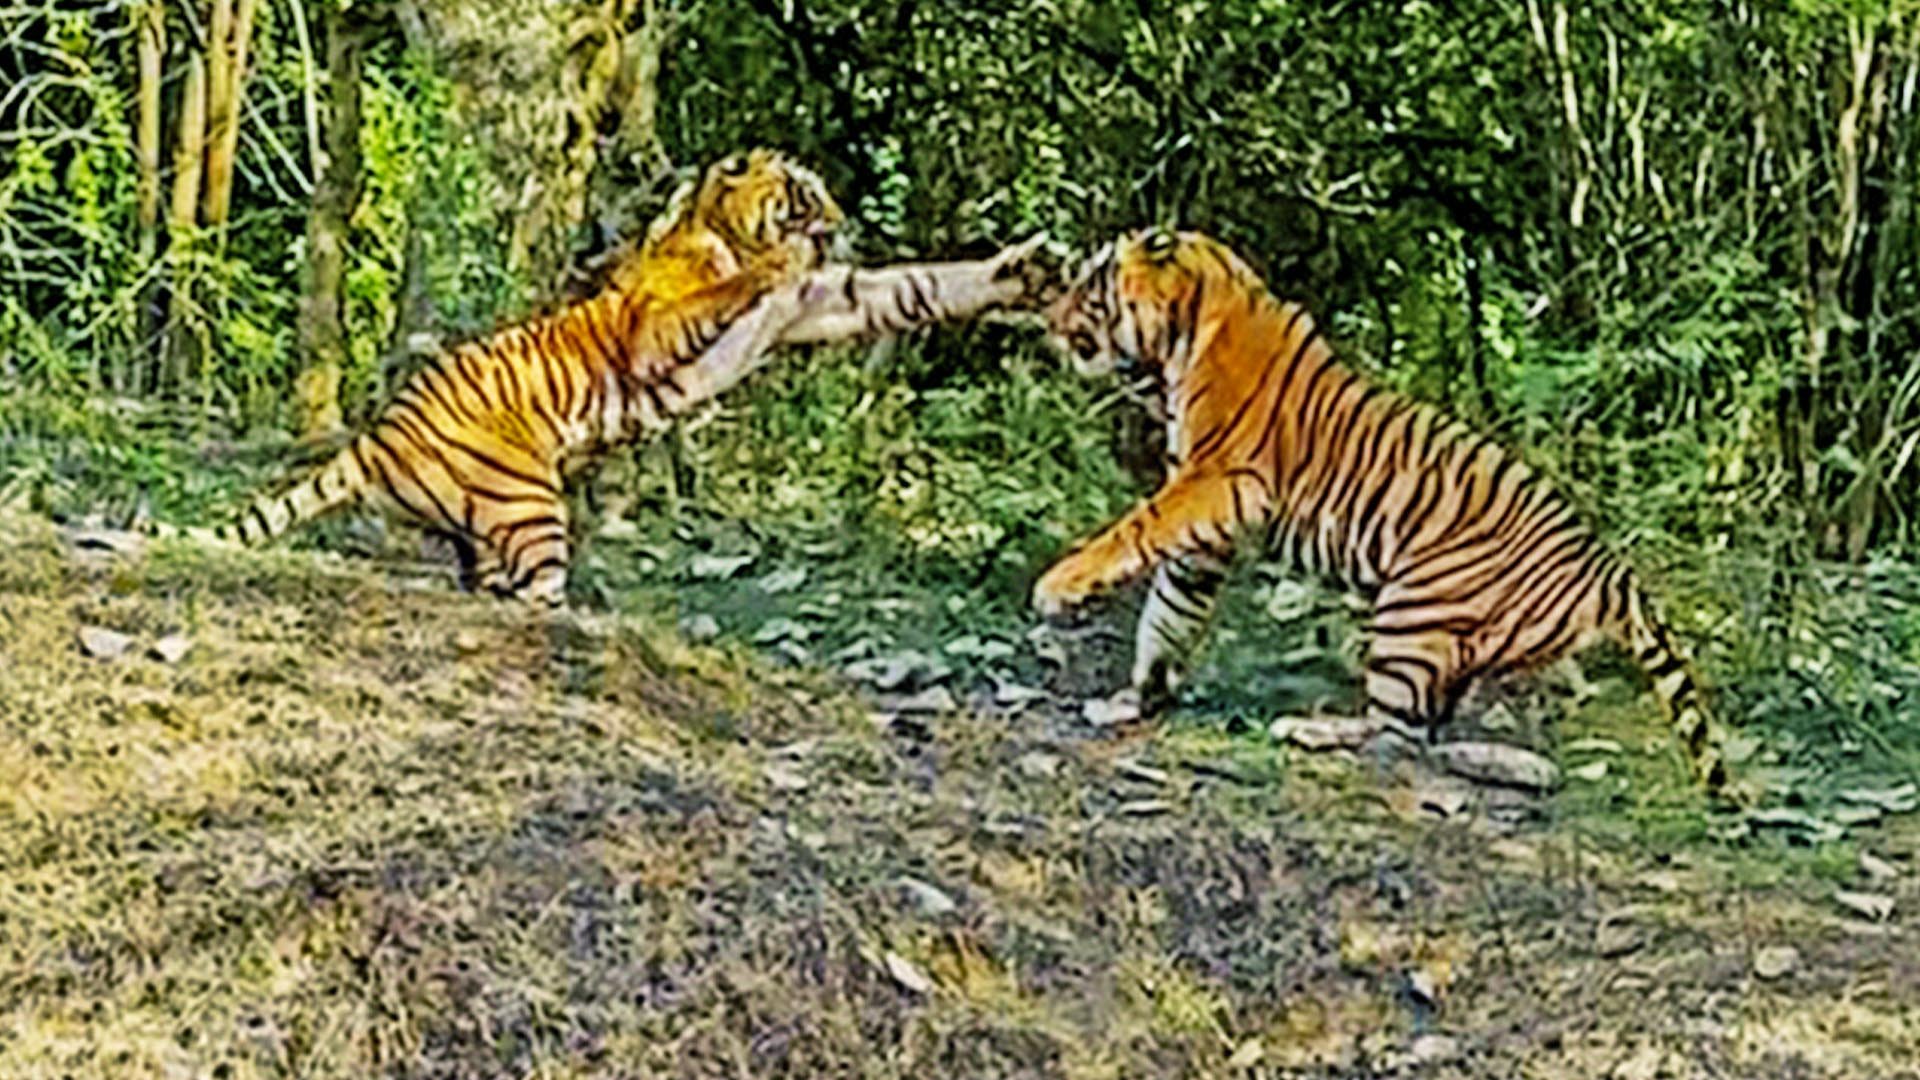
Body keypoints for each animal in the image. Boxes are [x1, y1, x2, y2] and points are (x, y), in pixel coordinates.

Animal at [166, 149, 1060, 606]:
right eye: (803, 194)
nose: (838, 224)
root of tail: (381, 430)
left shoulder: (822, 304)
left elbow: (918, 286)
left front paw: (1021, 271)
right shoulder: (654, 329)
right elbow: (728, 287)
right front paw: (768, 262)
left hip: (491, 522)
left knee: (488, 582)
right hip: (528, 506)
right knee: (534, 589)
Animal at [1033, 227, 1732, 795]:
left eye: (1089, 287)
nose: (1049, 321)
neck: (1182, 331)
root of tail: (1610, 571)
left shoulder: (1218, 482)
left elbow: (1134, 531)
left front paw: (1056, 587)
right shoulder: (1209, 530)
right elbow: (1169, 612)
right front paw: (1137, 697)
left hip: (1411, 610)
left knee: (1396, 733)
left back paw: (1307, 730)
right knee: (1424, 725)